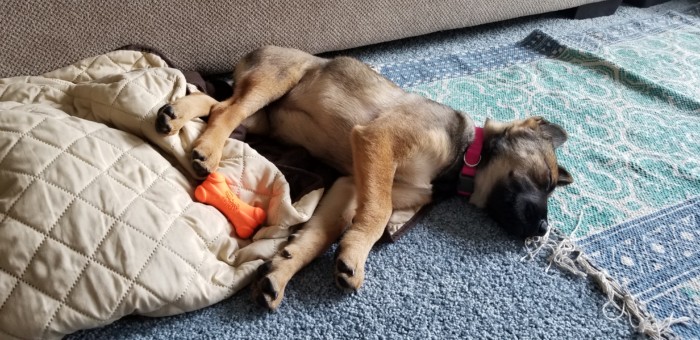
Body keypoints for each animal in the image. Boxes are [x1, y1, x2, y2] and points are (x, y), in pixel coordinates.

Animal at [156, 45, 572, 310]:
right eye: (544, 179)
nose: (542, 229)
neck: (462, 160)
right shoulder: (378, 142)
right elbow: (379, 213)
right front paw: (355, 255)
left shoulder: (350, 185)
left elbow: (318, 235)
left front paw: (283, 270)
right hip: (277, 79)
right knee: (226, 110)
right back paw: (207, 149)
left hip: (265, 118)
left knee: (217, 105)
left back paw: (175, 114)